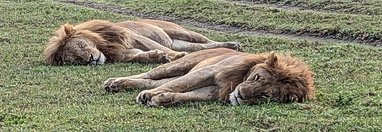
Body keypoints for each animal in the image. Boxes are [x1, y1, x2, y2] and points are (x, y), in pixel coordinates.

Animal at [103, 48, 314, 106]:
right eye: (256, 78)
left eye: (264, 96)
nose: (241, 95)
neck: (238, 81)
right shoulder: (209, 72)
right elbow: (180, 85)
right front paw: (147, 96)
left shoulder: (214, 91)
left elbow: (183, 95)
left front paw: (160, 99)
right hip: (181, 64)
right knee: (151, 74)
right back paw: (114, 82)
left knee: (153, 81)